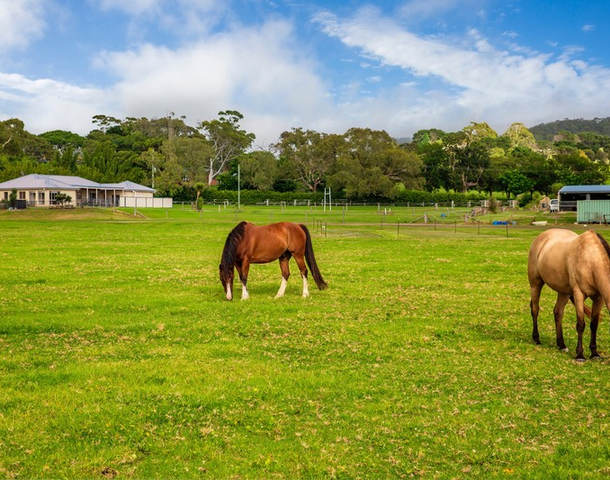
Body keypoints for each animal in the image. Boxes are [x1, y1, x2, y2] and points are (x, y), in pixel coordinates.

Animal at [524, 229, 608, 360]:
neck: (591, 260)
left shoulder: (599, 298)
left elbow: (594, 324)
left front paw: (595, 353)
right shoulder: (579, 294)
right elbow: (581, 324)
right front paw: (580, 355)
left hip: (563, 292)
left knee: (558, 312)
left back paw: (561, 344)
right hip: (535, 284)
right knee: (535, 309)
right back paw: (537, 339)